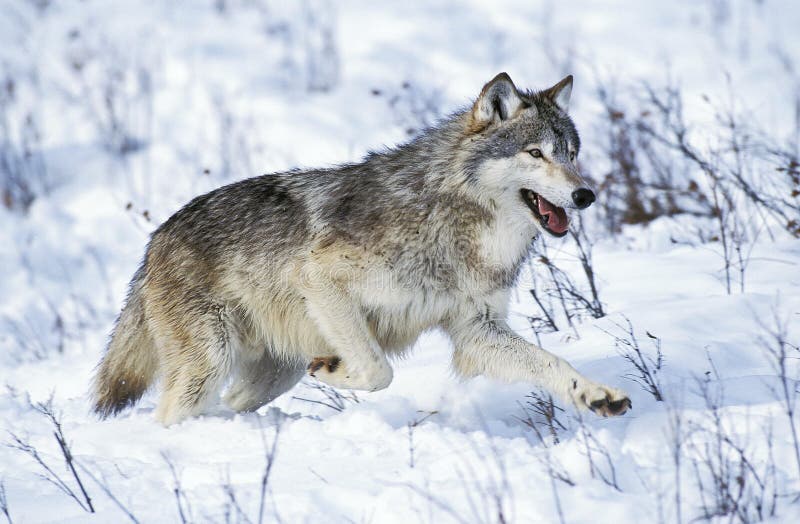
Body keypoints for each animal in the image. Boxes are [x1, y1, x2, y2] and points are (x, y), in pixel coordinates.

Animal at [94, 72, 632, 426]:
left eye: (571, 154)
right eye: (535, 154)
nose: (585, 195)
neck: (453, 222)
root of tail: (156, 239)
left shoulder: (477, 331)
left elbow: (552, 363)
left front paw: (595, 395)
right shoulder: (320, 278)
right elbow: (378, 371)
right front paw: (336, 370)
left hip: (271, 375)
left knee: (229, 404)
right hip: (209, 363)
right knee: (171, 413)